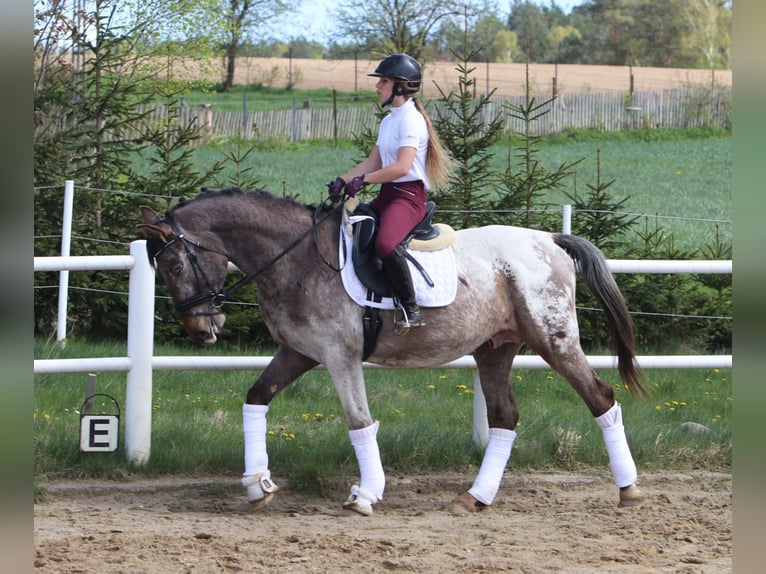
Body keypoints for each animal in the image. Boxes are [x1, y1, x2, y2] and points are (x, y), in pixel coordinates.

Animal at [141, 186, 652, 516]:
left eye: (173, 265)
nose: (201, 330)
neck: (296, 258)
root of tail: (549, 239)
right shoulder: (298, 353)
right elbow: (255, 399)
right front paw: (257, 484)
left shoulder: (340, 356)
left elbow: (359, 422)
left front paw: (365, 494)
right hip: (495, 348)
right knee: (504, 417)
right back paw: (476, 497)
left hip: (554, 339)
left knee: (600, 398)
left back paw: (629, 490)